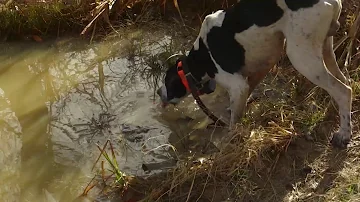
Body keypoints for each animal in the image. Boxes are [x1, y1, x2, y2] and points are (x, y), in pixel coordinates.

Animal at [157, 0, 352, 148]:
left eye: (167, 82)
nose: (159, 93)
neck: (202, 55)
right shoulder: (263, 66)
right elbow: (244, 96)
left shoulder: (236, 84)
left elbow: (234, 122)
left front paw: (229, 140)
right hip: (326, 49)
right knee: (344, 82)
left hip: (302, 57)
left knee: (343, 91)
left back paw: (343, 134)